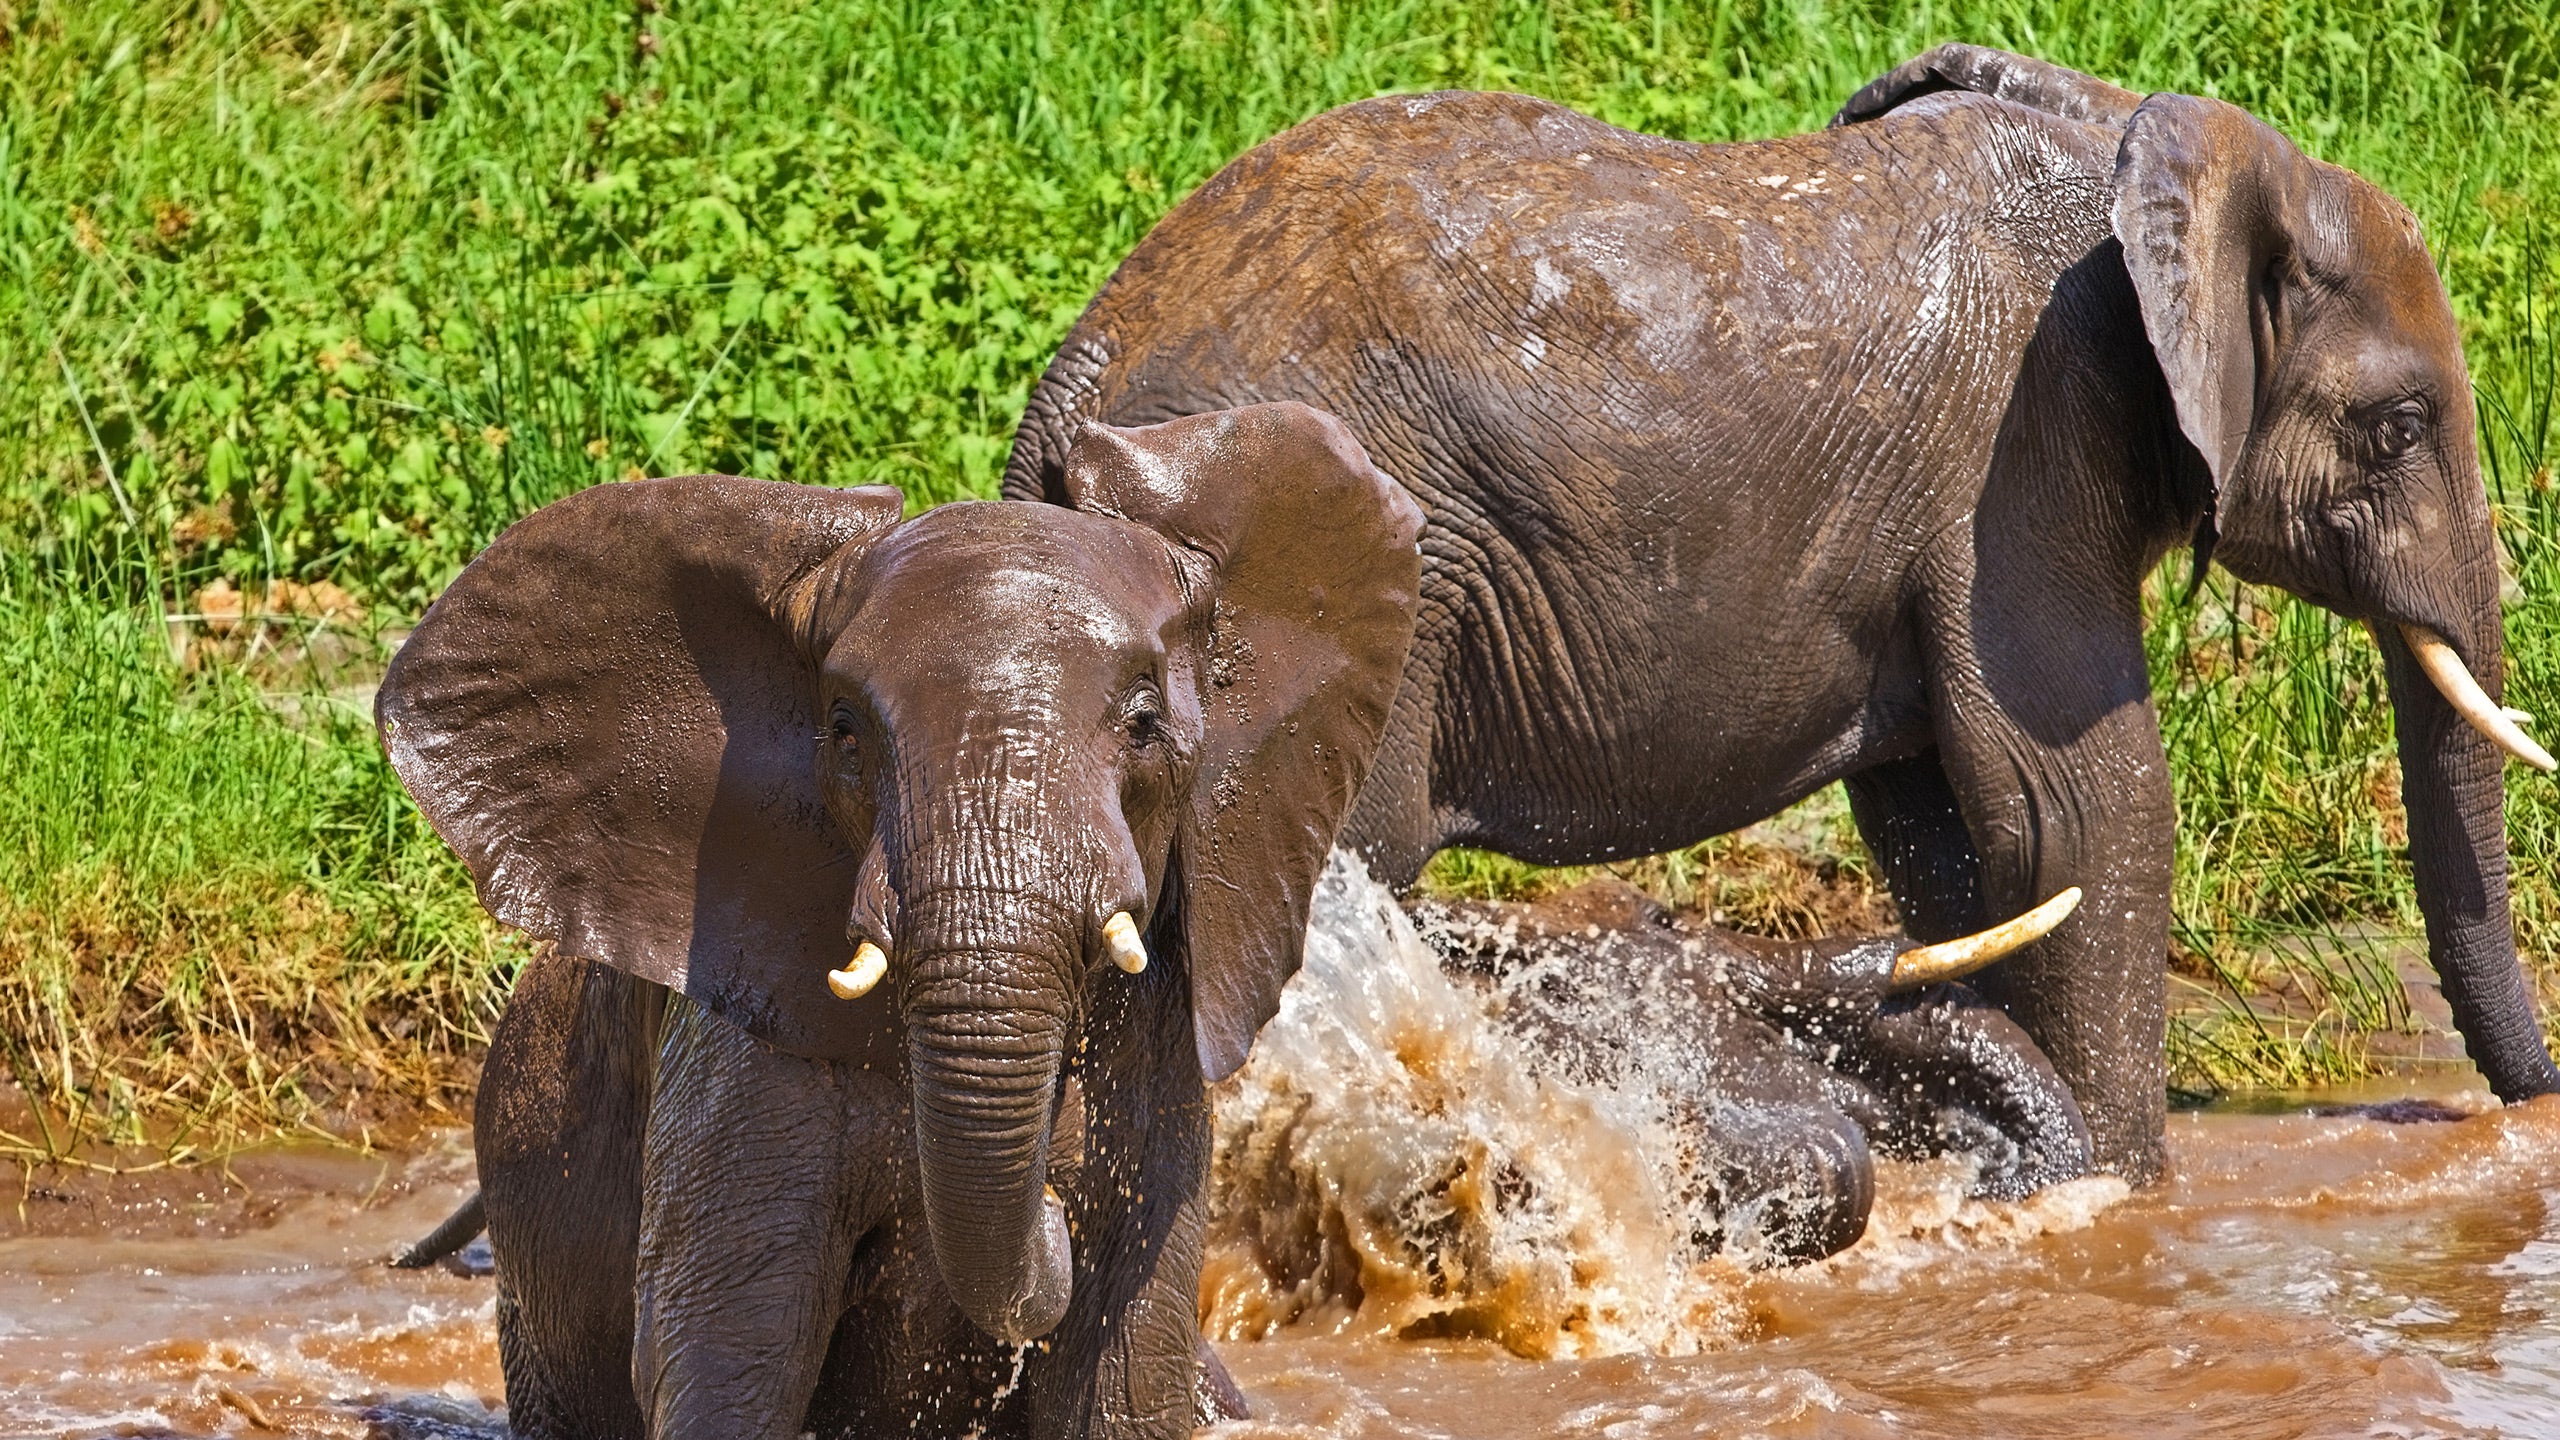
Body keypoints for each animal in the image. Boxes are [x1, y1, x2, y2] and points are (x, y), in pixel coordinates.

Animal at [376, 404, 1423, 1434]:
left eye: (1143, 726)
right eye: (844, 732)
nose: (1055, 1209)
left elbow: (1126, 1380)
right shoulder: (731, 1054)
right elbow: (727, 1355)